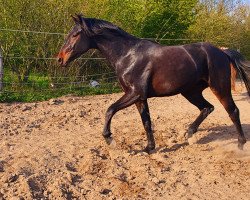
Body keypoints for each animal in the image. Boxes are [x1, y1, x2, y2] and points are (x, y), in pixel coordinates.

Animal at [57, 14, 249, 152]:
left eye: (75, 35)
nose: (60, 59)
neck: (128, 55)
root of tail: (223, 52)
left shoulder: (134, 93)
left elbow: (110, 109)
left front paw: (110, 139)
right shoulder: (140, 98)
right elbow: (146, 122)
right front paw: (149, 148)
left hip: (220, 88)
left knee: (233, 111)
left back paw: (240, 145)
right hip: (190, 92)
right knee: (207, 108)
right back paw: (189, 134)